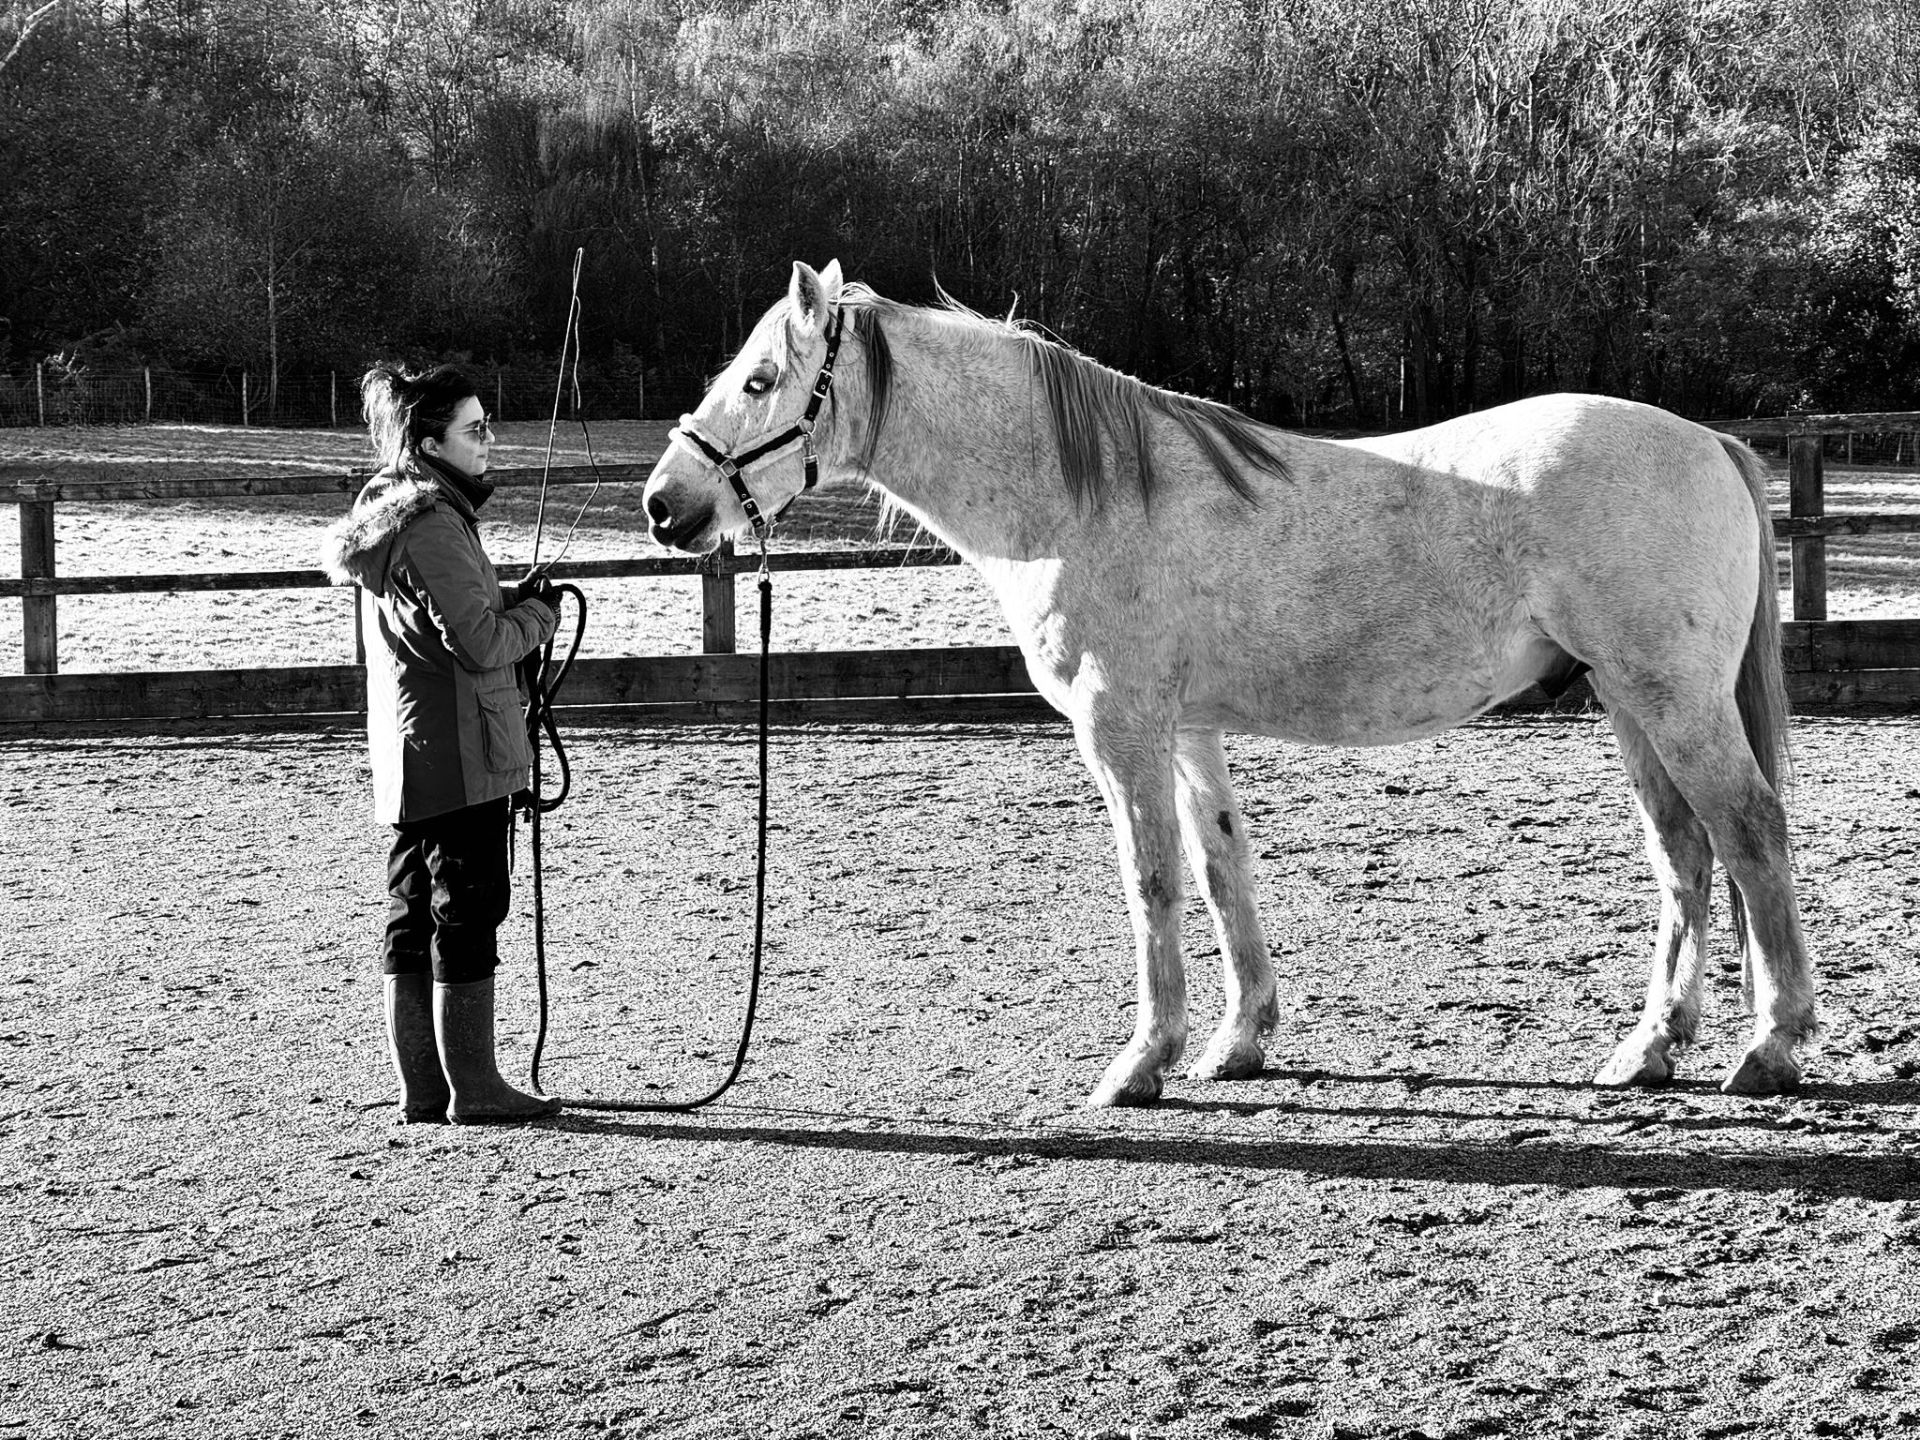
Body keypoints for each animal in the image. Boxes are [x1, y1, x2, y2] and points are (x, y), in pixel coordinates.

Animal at [642, 259, 1816, 1108]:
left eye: (758, 380)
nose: (665, 504)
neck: (1082, 499)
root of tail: (1710, 440)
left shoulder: (1120, 728)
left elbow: (1150, 880)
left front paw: (1141, 1063)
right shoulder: (1189, 732)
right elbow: (1220, 869)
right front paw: (1236, 1042)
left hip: (1673, 701)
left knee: (1750, 833)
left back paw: (1771, 1047)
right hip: (1628, 702)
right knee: (1685, 854)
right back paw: (1648, 1050)